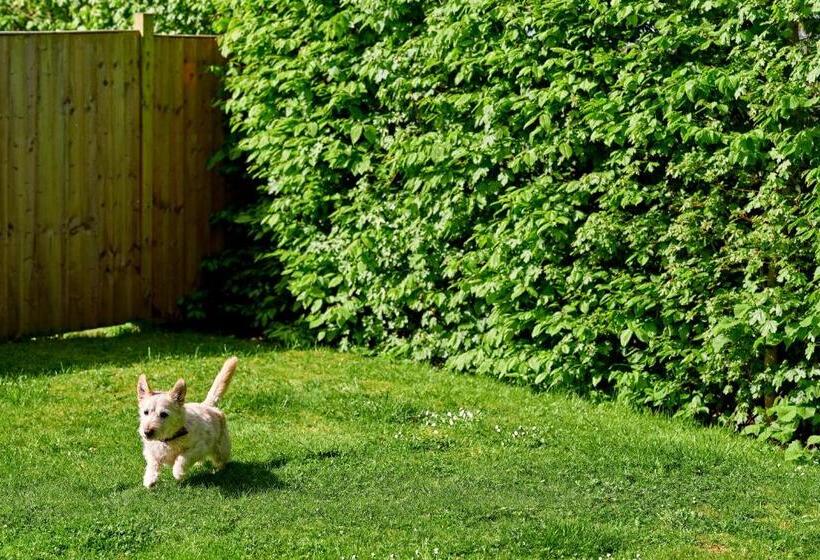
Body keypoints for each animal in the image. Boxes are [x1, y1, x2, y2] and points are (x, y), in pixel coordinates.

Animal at [136, 356, 239, 488]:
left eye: (163, 414)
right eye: (145, 412)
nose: (147, 432)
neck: (169, 440)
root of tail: (207, 405)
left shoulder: (198, 447)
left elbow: (183, 457)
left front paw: (178, 472)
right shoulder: (150, 452)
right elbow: (152, 463)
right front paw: (150, 479)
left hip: (221, 449)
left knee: (221, 461)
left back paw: (219, 470)